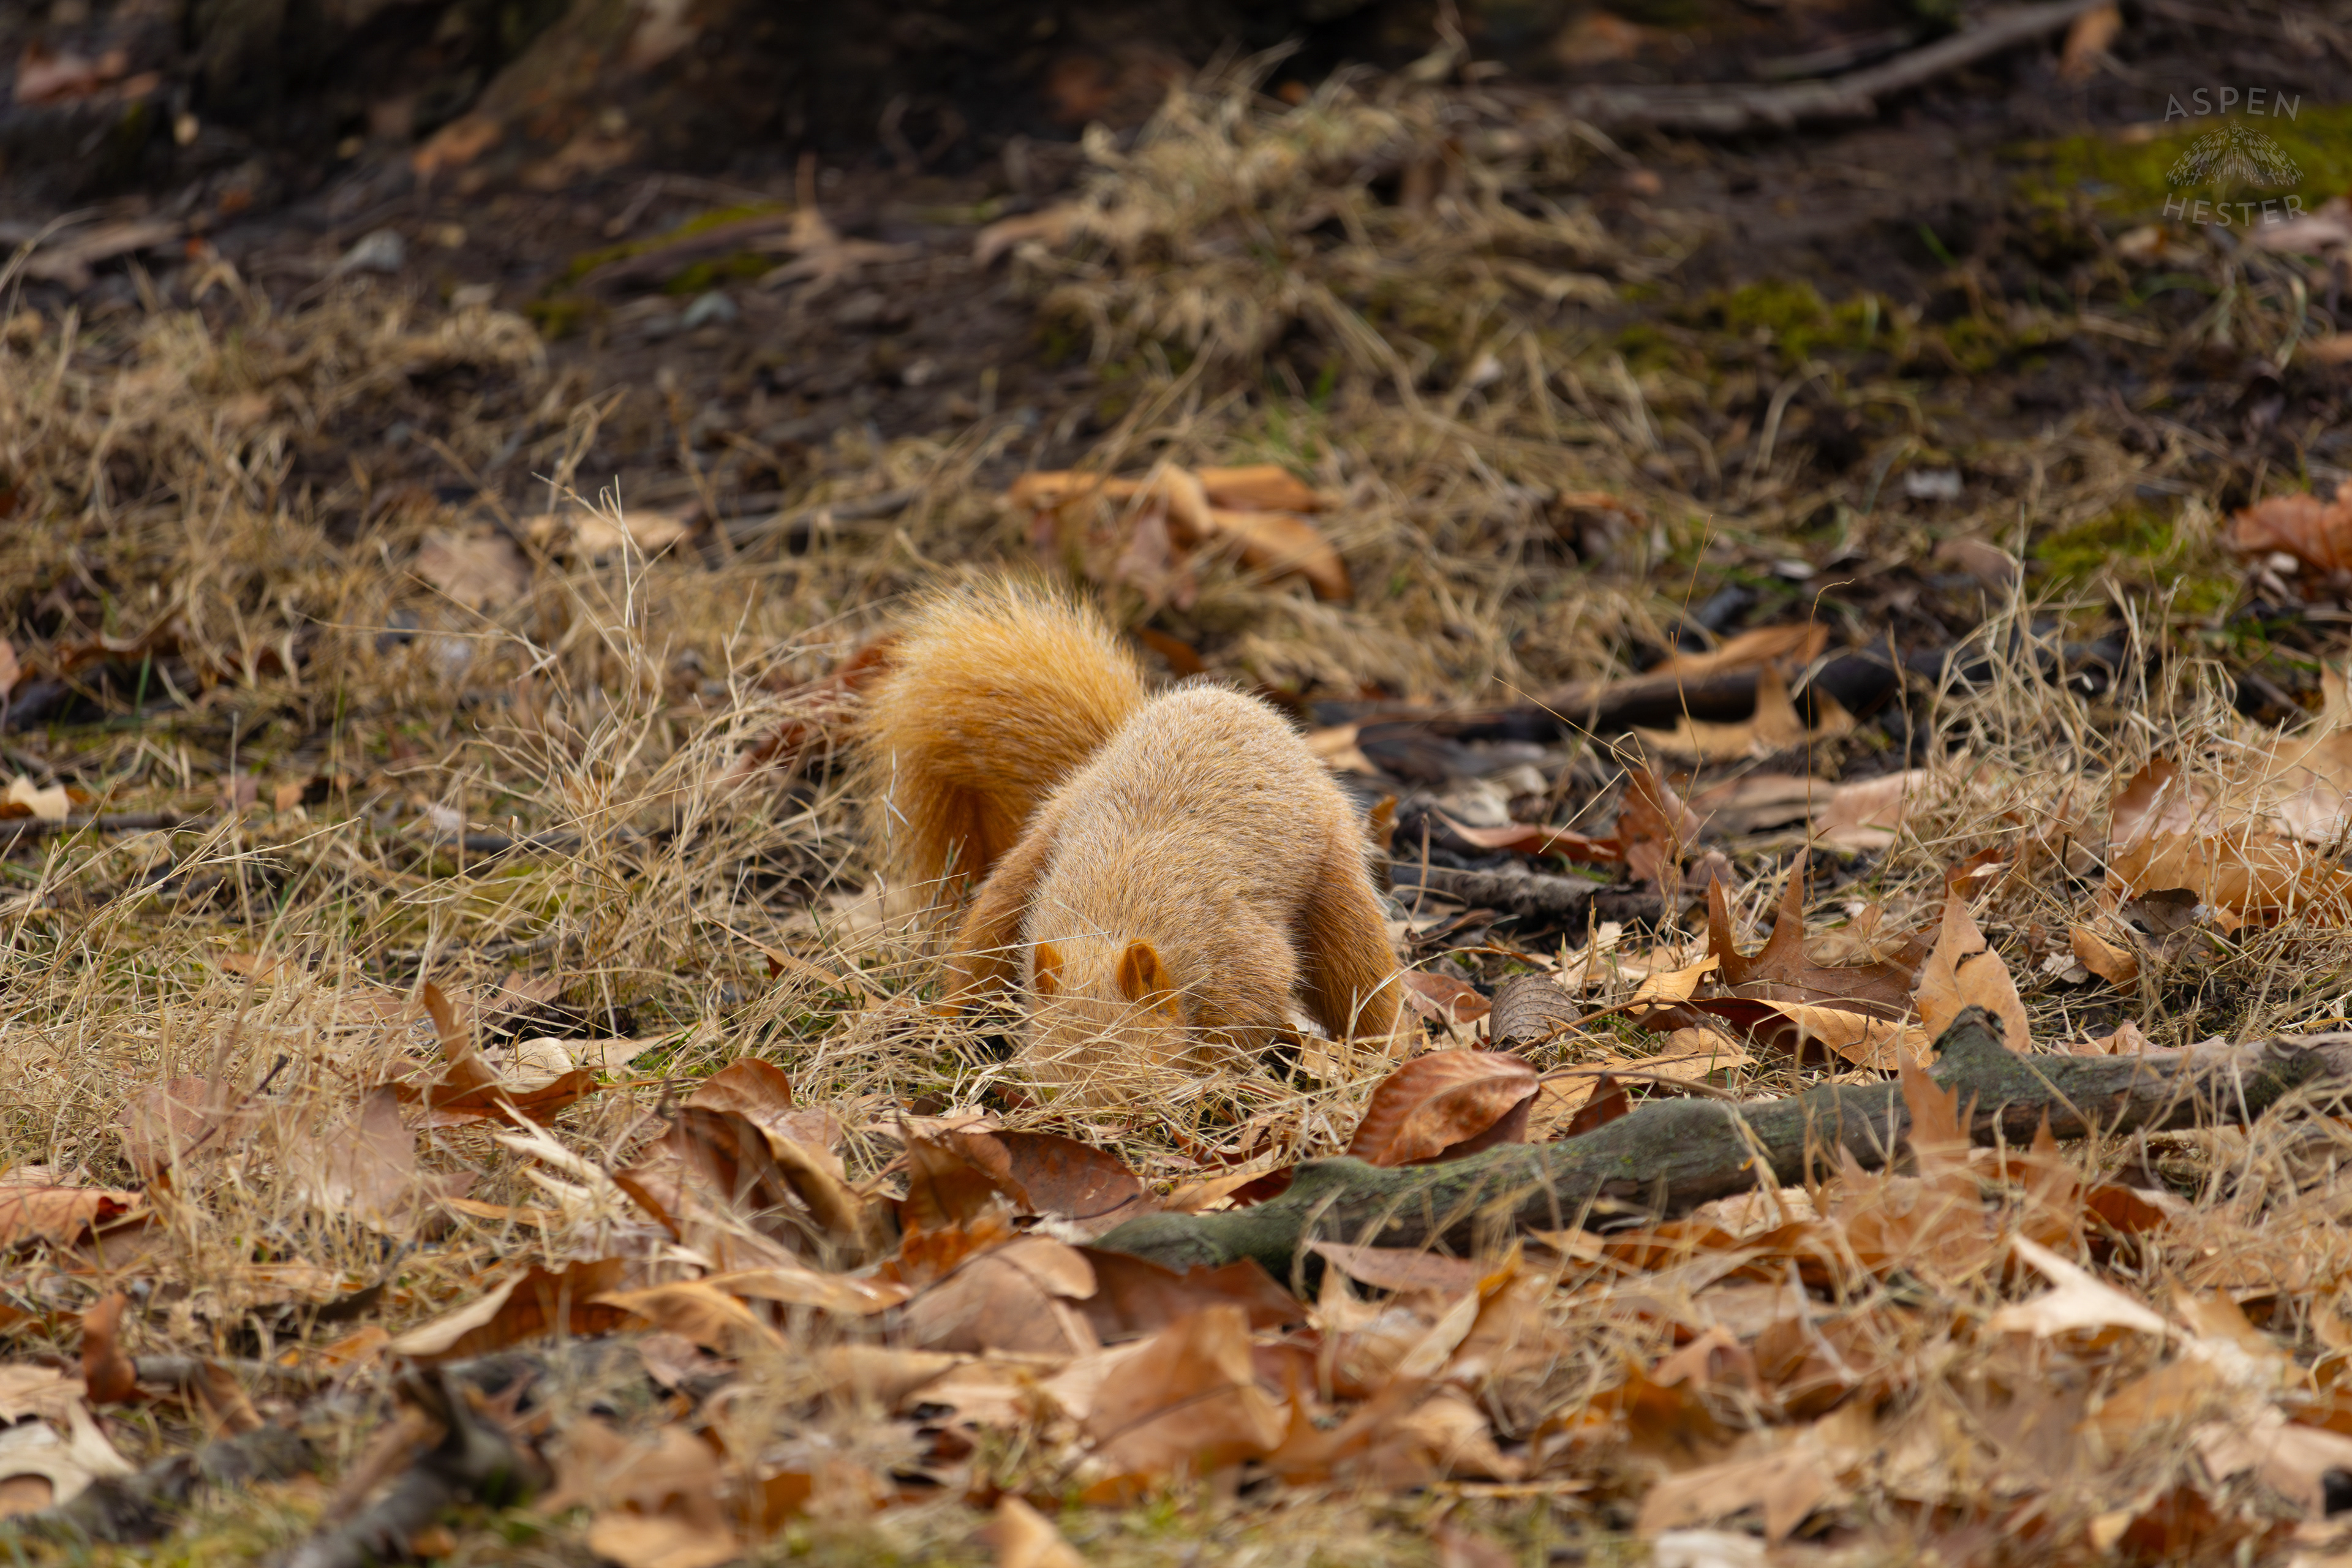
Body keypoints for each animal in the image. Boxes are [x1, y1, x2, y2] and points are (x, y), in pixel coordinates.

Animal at [858, 578, 1401, 1094]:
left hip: (1337, 882)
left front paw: (1208, 1082)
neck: (1112, 912)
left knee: (1361, 976)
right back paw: (943, 1029)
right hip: (1025, 864)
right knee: (979, 953)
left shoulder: (1245, 958)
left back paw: (1382, 1053)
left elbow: (1240, 1022)